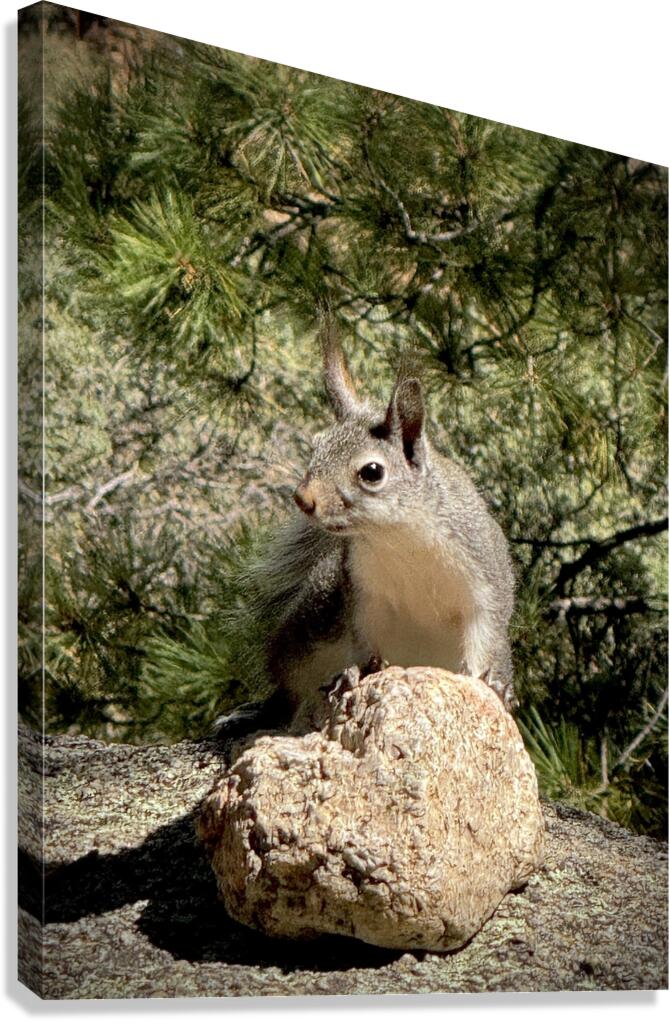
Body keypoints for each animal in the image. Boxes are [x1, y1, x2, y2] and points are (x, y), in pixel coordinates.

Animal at [231, 311, 516, 736]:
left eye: (371, 472)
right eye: (316, 446)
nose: (303, 498)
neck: (398, 538)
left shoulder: (485, 583)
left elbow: (483, 637)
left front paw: (489, 683)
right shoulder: (364, 594)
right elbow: (365, 642)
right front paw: (356, 673)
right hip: (315, 619)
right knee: (290, 693)